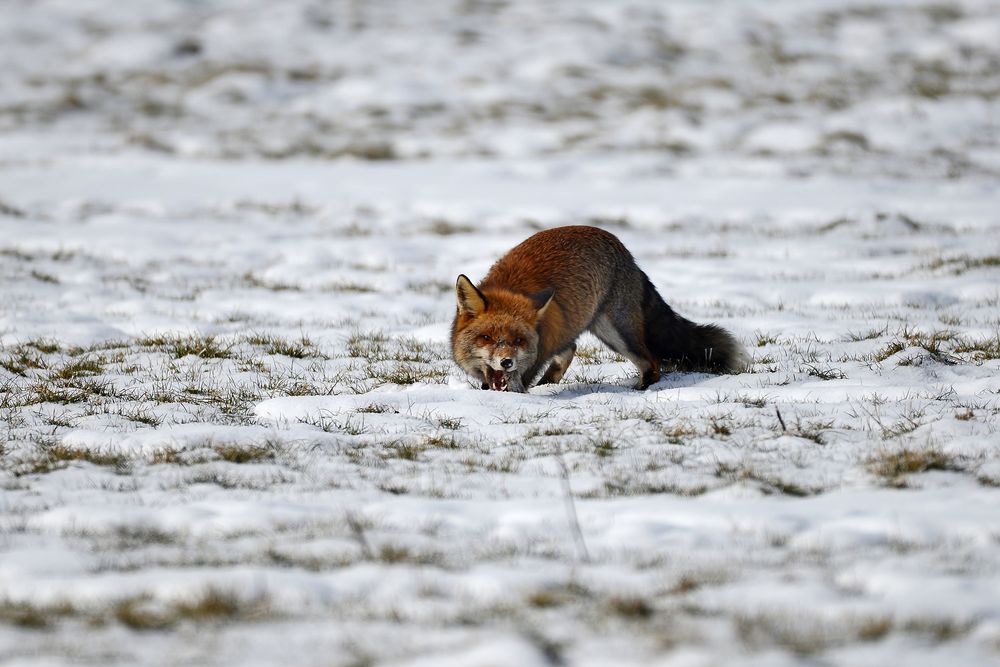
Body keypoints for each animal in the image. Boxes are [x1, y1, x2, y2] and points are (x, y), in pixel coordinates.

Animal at [451, 226, 748, 392]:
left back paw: (641, 390)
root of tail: (626, 252)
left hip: (617, 333)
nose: (506, 362)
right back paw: (549, 382)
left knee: (653, 363)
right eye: (486, 337)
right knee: (571, 348)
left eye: (518, 341)